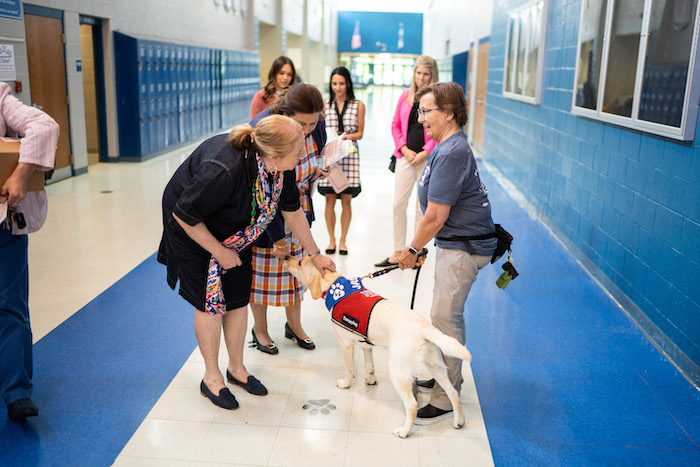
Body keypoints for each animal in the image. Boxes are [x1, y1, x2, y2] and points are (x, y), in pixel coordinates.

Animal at [284, 256, 470, 438]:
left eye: (299, 262)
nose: (285, 256)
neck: (335, 288)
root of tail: (423, 326)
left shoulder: (345, 344)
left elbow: (349, 370)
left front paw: (345, 384)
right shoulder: (366, 345)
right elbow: (369, 365)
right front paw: (370, 381)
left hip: (398, 371)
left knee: (412, 404)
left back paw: (404, 431)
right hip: (436, 366)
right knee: (453, 393)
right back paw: (458, 421)